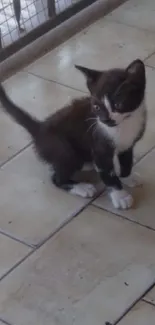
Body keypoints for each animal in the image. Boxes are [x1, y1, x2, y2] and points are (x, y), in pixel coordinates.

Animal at [0, 59, 147, 209]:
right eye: (96, 107)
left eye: (118, 104)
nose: (106, 120)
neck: (125, 125)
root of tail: (40, 129)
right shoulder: (99, 145)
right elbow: (108, 174)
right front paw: (120, 196)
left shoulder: (128, 144)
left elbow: (126, 162)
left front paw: (127, 177)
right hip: (62, 148)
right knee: (57, 178)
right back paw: (81, 187)